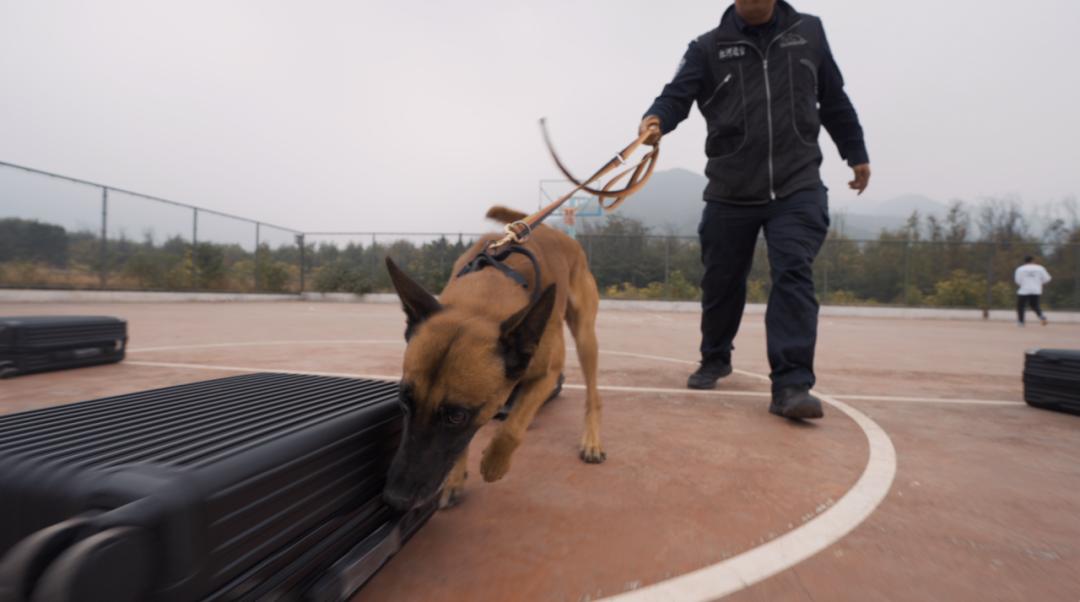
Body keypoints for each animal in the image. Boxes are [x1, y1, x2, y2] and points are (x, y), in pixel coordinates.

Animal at [382, 207, 609, 512]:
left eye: (456, 416)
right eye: (405, 401)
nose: (394, 499)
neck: (485, 298)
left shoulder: (547, 374)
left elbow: (512, 428)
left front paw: (494, 462)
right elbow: (466, 441)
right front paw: (454, 479)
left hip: (585, 337)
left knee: (592, 396)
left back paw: (591, 440)